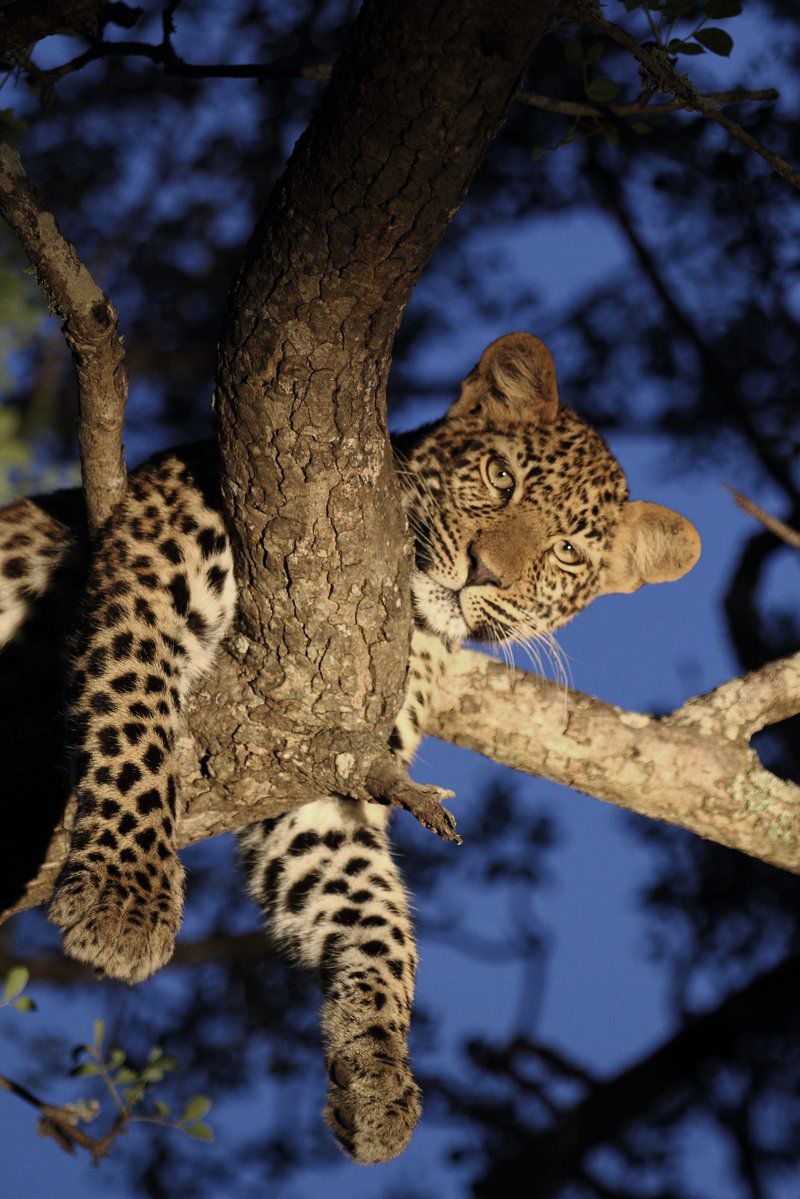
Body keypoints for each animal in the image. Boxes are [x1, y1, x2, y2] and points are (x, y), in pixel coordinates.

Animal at [0, 328, 700, 1160]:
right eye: (500, 478)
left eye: (565, 552)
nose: (484, 572)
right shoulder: (167, 540)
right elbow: (135, 713)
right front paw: (123, 897)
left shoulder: (322, 768)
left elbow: (374, 913)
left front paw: (380, 1069)